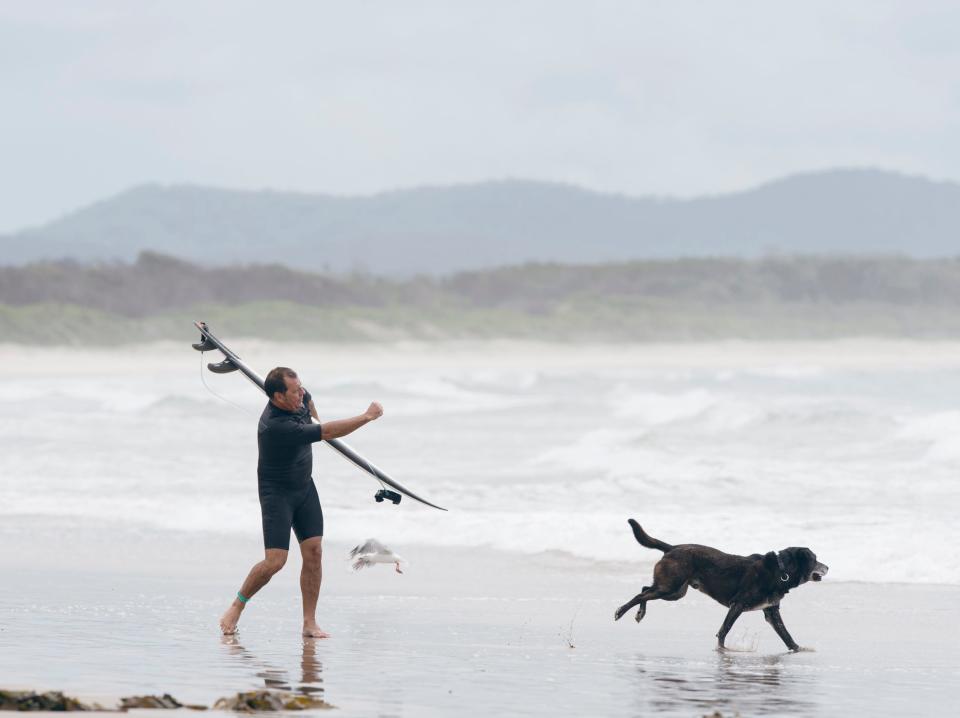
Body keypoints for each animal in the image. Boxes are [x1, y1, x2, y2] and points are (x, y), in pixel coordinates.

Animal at [620, 520, 828, 656]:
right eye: (815, 560)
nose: (828, 567)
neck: (780, 570)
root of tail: (672, 547)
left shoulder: (771, 612)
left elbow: (786, 635)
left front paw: (798, 649)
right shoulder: (738, 604)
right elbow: (724, 629)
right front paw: (722, 650)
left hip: (675, 591)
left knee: (644, 589)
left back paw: (639, 613)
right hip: (670, 588)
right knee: (641, 595)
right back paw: (621, 611)